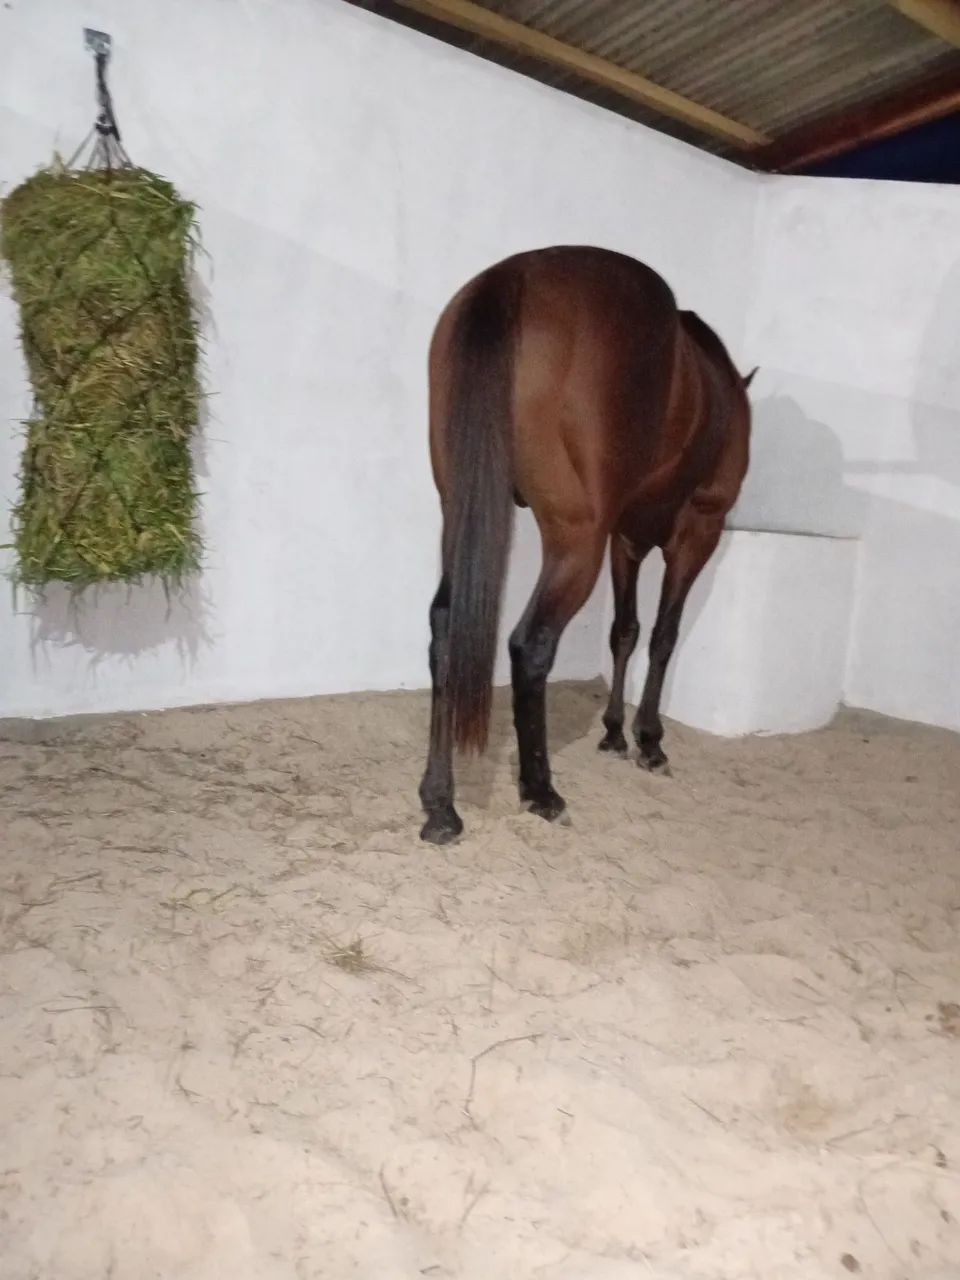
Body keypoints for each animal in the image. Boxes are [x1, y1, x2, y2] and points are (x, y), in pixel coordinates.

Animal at [418, 245, 754, 844]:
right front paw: (648, 740)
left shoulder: (625, 541)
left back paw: (441, 804)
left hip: (460, 511)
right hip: (577, 539)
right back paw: (541, 790)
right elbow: (662, 636)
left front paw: (615, 732)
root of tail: (513, 275)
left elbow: (625, 631)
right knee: (531, 644)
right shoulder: (698, 532)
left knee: (444, 630)